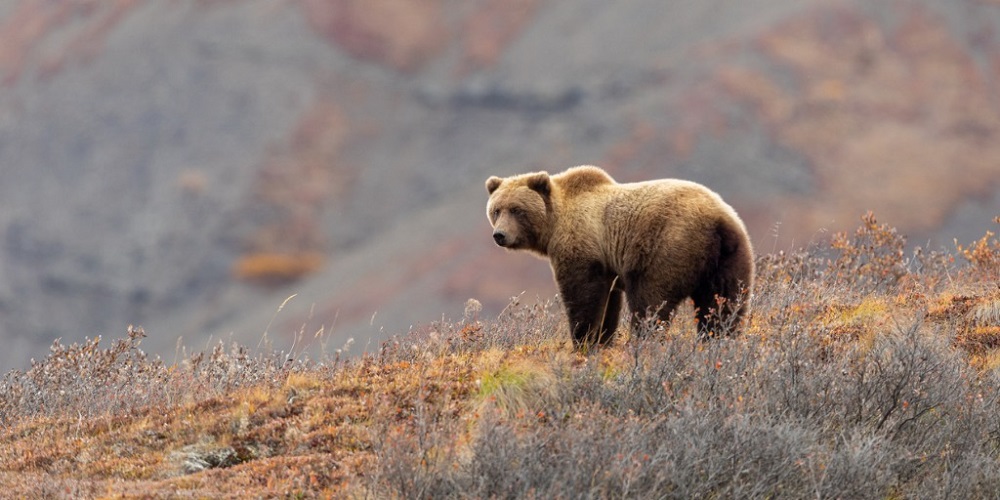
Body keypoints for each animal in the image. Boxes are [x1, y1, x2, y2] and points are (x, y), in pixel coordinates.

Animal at [485, 165, 754, 347]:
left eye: (517, 210)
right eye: (496, 210)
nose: (499, 235)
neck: (554, 224)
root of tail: (717, 220)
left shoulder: (582, 247)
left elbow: (582, 295)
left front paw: (583, 340)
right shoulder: (607, 265)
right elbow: (609, 303)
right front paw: (603, 339)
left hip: (667, 247)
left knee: (650, 302)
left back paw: (644, 342)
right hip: (729, 258)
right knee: (725, 304)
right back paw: (718, 340)